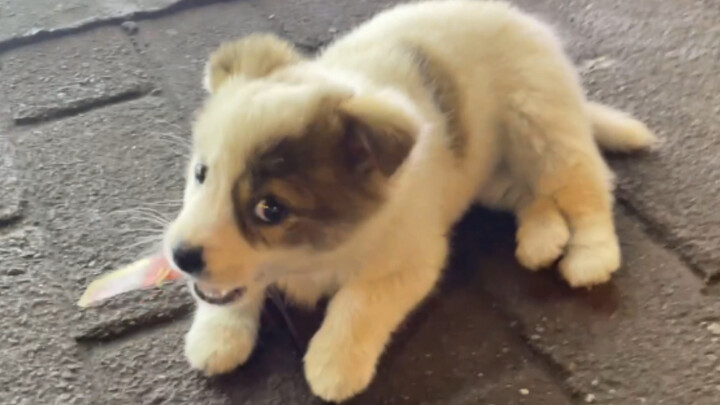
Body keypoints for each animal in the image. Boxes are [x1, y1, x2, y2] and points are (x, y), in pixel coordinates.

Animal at [163, 1, 660, 400]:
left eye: (270, 209)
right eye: (201, 174)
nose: (179, 256)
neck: (317, 255)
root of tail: (519, 18)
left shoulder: (411, 260)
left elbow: (357, 305)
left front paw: (333, 365)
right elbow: (227, 294)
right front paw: (217, 339)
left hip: (543, 129)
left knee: (588, 188)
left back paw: (591, 256)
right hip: (490, 174)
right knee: (530, 194)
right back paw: (542, 237)